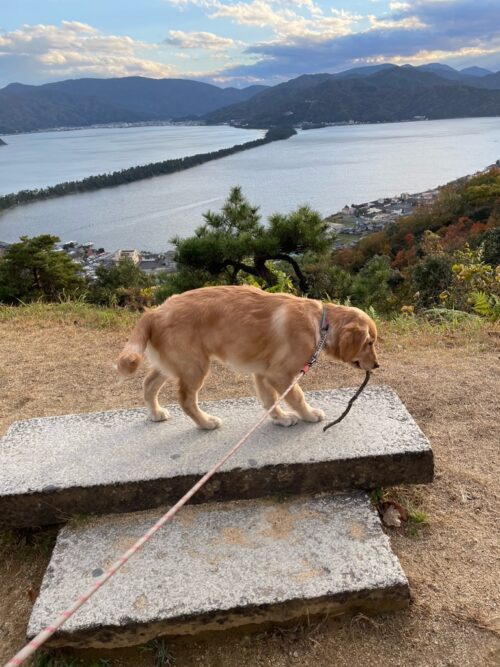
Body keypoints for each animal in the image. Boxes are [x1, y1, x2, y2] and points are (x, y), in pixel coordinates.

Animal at [115, 286, 376, 430]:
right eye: (369, 342)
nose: (376, 365)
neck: (321, 323)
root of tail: (155, 312)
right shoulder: (280, 375)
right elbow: (297, 396)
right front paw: (309, 415)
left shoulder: (263, 373)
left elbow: (270, 400)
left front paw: (280, 419)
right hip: (194, 366)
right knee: (186, 400)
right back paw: (206, 422)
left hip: (173, 364)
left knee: (148, 384)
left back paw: (156, 414)